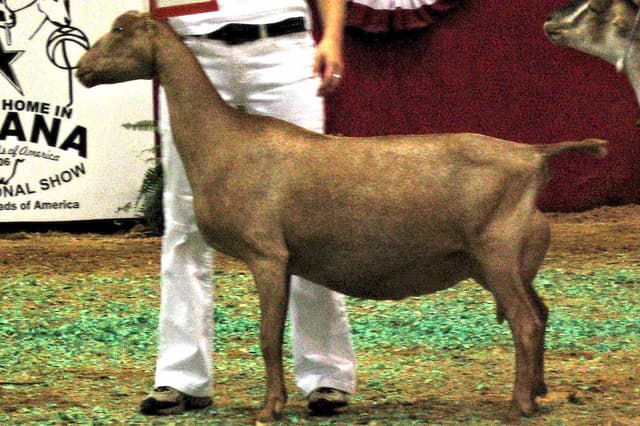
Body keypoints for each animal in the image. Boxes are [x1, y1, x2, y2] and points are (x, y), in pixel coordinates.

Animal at [76, 11, 608, 424]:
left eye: (120, 29)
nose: (81, 69)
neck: (226, 141)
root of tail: (534, 156)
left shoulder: (267, 254)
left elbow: (269, 336)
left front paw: (269, 409)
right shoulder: (284, 260)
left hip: (496, 251)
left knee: (526, 322)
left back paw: (520, 405)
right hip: (507, 260)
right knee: (541, 311)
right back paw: (538, 391)